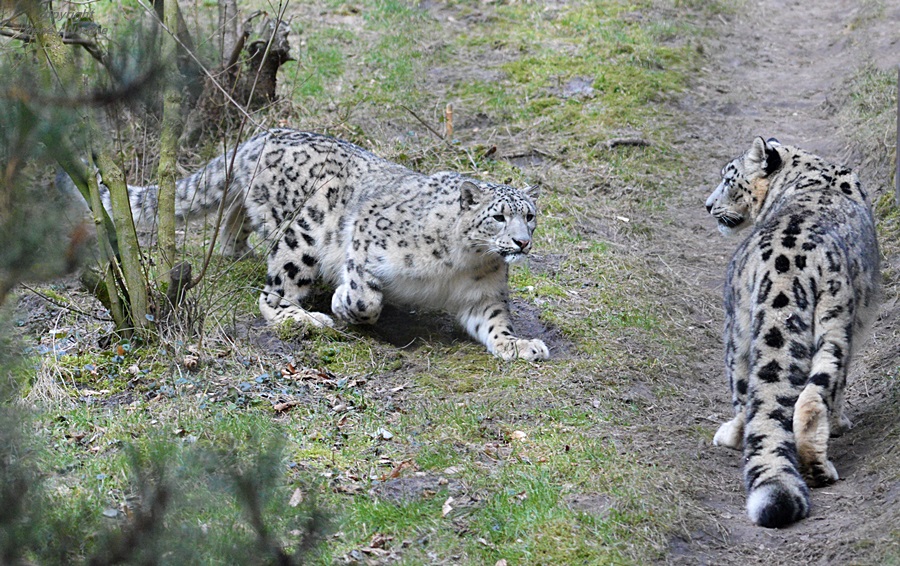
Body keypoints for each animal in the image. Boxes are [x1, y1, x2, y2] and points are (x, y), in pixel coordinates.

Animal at [104, 129, 544, 362]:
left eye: (530, 215)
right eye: (499, 216)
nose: (521, 242)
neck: (465, 262)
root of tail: (260, 136)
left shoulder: (482, 294)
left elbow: (495, 322)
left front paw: (520, 345)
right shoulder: (368, 236)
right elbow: (365, 296)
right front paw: (342, 305)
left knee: (232, 222)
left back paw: (239, 250)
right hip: (304, 232)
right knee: (273, 291)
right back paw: (307, 318)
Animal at [704, 139, 880, 532]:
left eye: (728, 179)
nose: (707, 205)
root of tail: (785, 265)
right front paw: (841, 423)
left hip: (740, 324)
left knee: (751, 395)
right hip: (833, 322)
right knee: (813, 396)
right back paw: (818, 468)